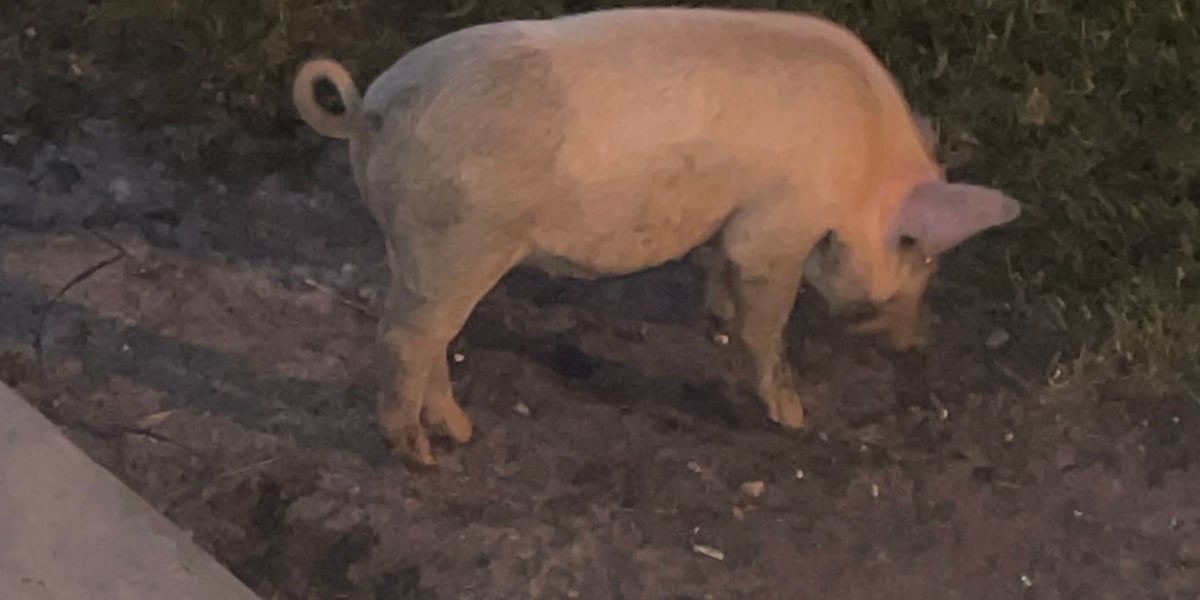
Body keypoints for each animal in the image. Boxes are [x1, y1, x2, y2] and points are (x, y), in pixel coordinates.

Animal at [291, 7, 1021, 466]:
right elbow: (766, 317)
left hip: (416, 244)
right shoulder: (779, 222)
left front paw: (716, 314)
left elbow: (721, 268)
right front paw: (793, 416)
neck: (865, 171)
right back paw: (423, 457)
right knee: (405, 339)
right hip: (459, 239)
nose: (918, 342)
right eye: (921, 257)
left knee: (430, 336)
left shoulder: (732, 220)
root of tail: (372, 108)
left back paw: (462, 434)